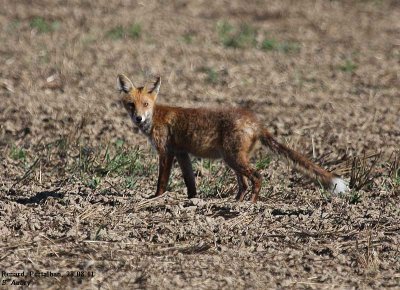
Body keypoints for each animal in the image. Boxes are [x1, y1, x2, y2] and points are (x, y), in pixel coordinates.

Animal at [117, 73, 348, 203]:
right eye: (131, 105)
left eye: (145, 104)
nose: (138, 118)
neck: (156, 116)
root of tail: (256, 122)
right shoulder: (182, 154)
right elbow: (191, 183)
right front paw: (192, 201)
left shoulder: (166, 152)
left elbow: (161, 182)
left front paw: (155, 199)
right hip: (232, 160)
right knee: (243, 183)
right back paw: (234, 201)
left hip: (233, 158)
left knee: (257, 177)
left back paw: (249, 204)